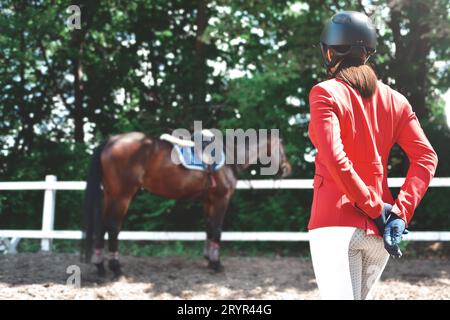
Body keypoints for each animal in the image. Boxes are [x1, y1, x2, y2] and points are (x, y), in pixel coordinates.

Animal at [81, 131, 292, 276]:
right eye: (281, 145)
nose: (287, 168)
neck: (231, 156)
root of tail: (111, 141)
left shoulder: (208, 201)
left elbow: (209, 229)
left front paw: (209, 259)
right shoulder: (221, 199)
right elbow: (217, 230)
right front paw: (217, 264)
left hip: (110, 195)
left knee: (101, 227)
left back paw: (100, 266)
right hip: (122, 196)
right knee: (113, 227)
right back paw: (115, 268)